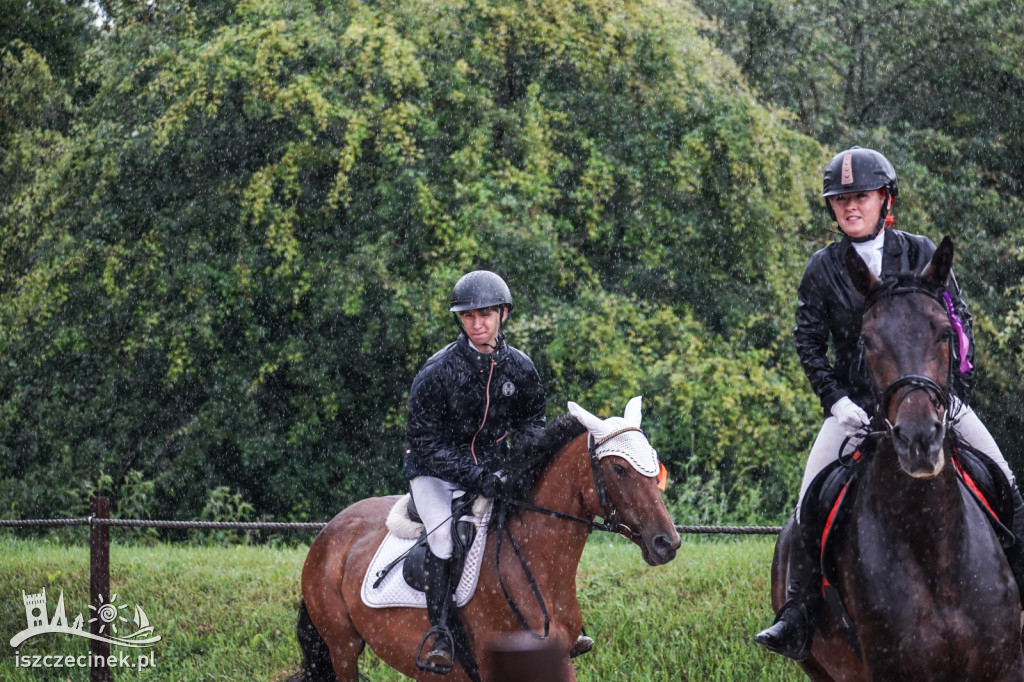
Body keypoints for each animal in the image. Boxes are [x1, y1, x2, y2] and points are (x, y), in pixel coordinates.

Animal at [292, 395, 684, 675]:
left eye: (654, 464)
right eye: (619, 469)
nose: (667, 542)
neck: (538, 566)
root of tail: (328, 533)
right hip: (342, 647)